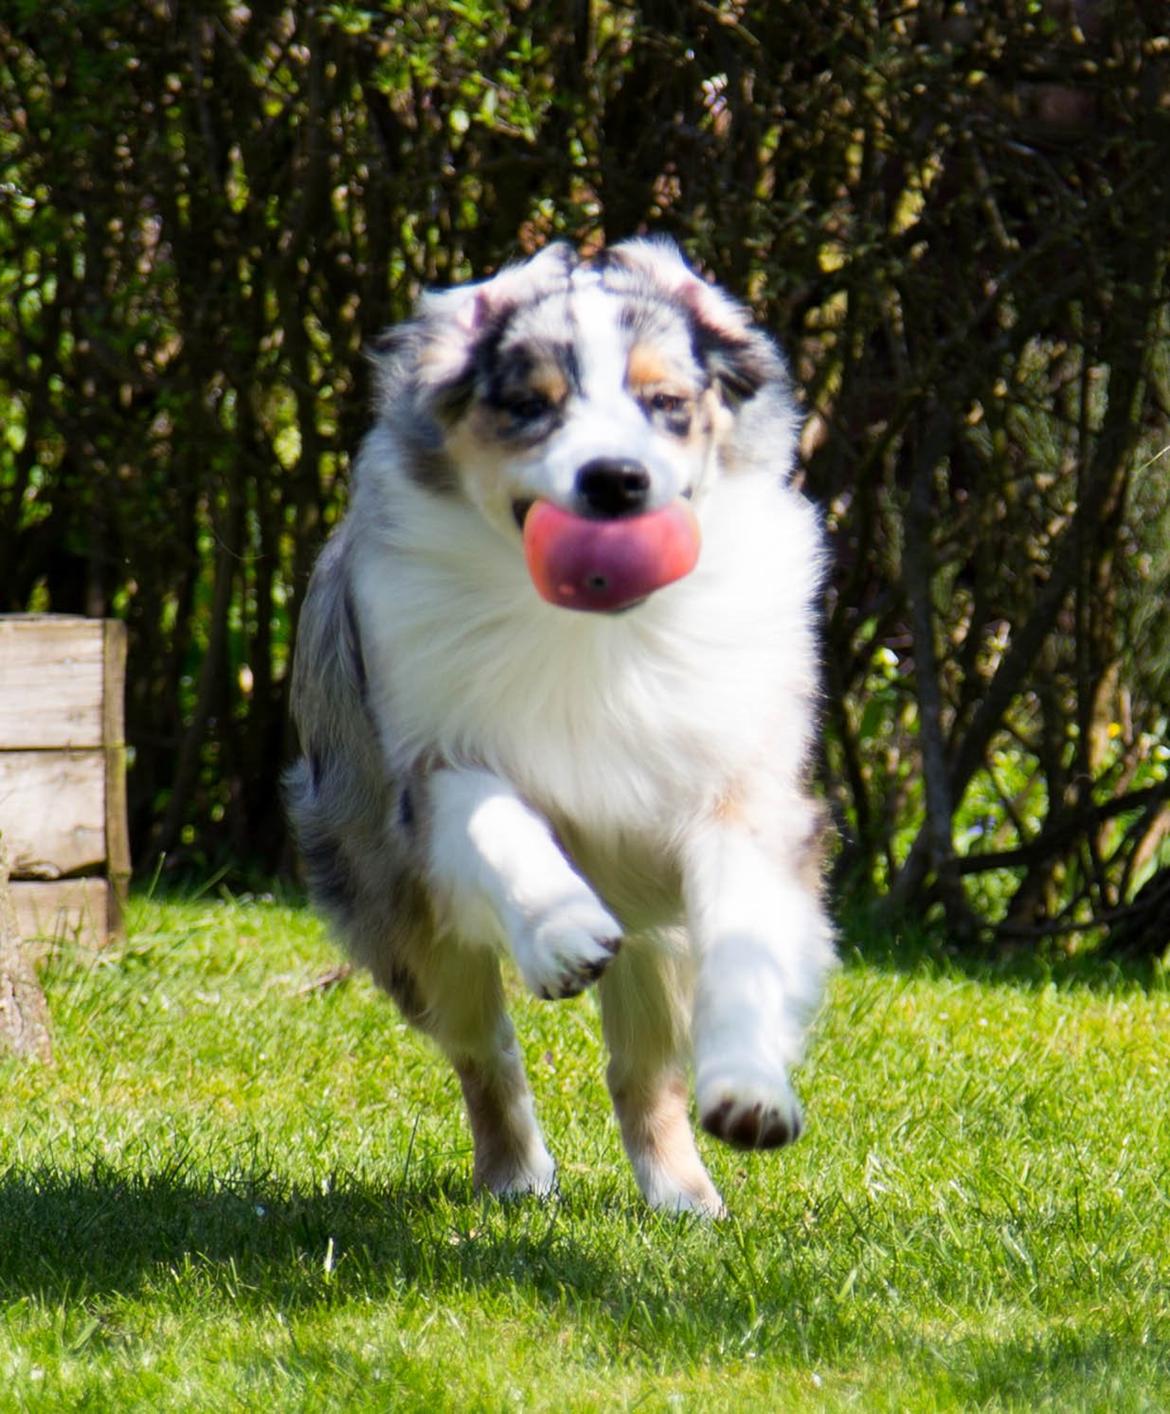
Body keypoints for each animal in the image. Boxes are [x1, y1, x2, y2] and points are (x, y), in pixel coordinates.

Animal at [285, 234, 831, 1216]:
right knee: (483, 1049)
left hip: (658, 937)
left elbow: (746, 933)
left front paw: (751, 1091)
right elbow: (497, 820)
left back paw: (683, 1193)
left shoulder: (743, 789)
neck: (594, 633)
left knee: (643, 1071)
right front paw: (562, 929)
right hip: (394, 908)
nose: (615, 479)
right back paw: (515, 1174)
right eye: (530, 406)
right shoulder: (422, 769)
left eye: (668, 404)